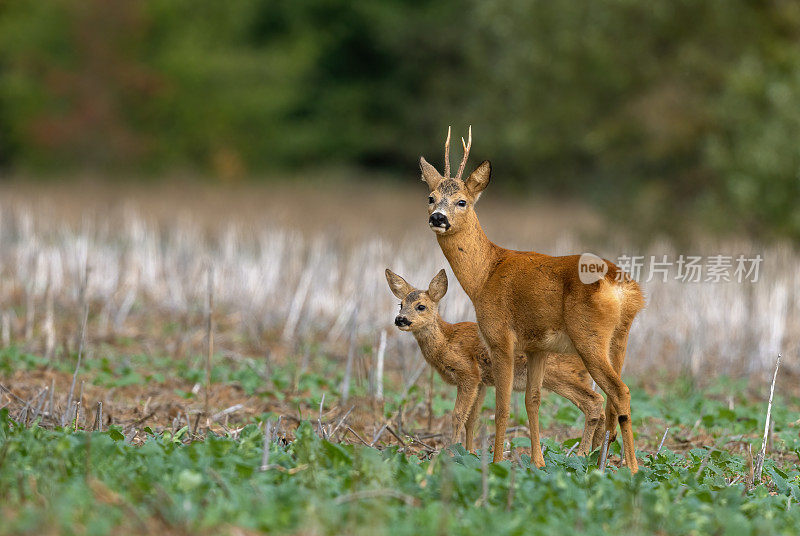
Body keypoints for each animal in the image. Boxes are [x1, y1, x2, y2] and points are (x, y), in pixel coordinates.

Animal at [384, 268, 604, 452]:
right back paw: (597, 455)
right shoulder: (482, 382)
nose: (400, 319)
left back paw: (583, 454)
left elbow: (457, 416)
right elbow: (472, 419)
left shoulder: (468, 373)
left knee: (594, 402)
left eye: (421, 306)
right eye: (400, 304)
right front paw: (470, 452)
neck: (446, 341)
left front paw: (449, 452)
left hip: (560, 375)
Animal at [418, 127, 644, 472]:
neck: (484, 274)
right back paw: (602, 464)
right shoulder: (538, 347)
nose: (439, 218)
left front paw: (497, 462)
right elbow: (532, 401)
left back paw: (631, 469)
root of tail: (622, 285)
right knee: (611, 399)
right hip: (619, 339)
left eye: (462, 201)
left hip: (589, 337)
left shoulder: (500, 338)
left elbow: (501, 408)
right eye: (430, 197)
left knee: (619, 391)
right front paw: (538, 463)